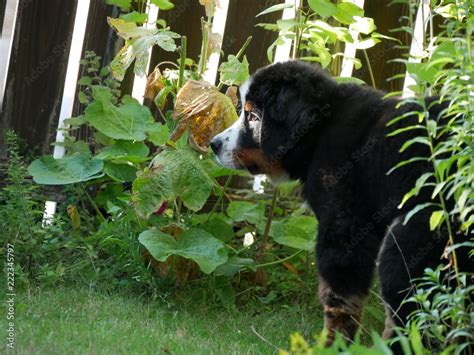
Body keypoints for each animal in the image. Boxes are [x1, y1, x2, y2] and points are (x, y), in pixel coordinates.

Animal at [210, 60, 470, 348]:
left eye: (254, 117)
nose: (213, 144)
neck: (320, 131)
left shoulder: (343, 226)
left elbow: (339, 299)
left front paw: (332, 344)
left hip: (412, 237)